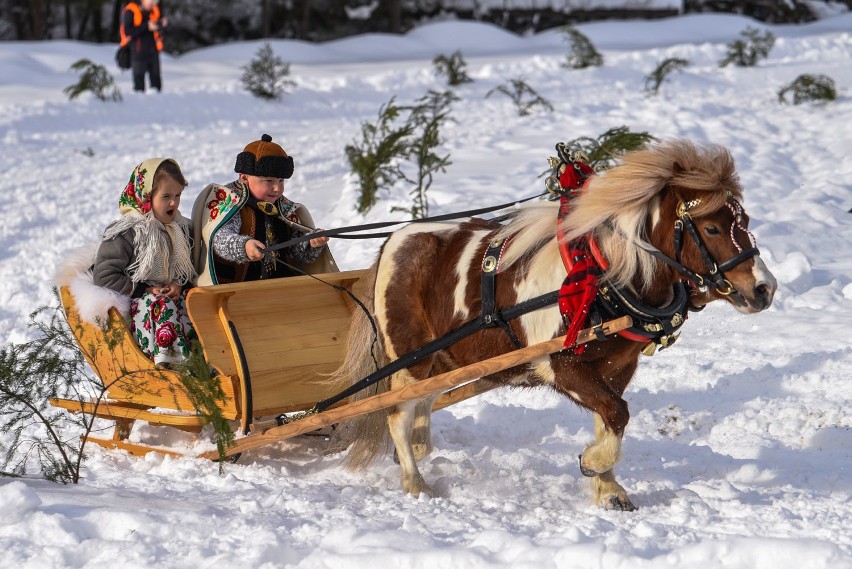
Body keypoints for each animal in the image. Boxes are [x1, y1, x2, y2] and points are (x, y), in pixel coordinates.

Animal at [328, 139, 780, 510]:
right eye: (712, 227)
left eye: (745, 222)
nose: (765, 288)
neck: (604, 273)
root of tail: (394, 241)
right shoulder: (562, 365)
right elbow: (617, 412)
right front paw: (593, 463)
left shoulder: (617, 367)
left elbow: (610, 416)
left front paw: (608, 487)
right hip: (410, 358)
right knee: (396, 414)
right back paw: (415, 481)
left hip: (441, 359)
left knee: (421, 405)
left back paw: (418, 451)